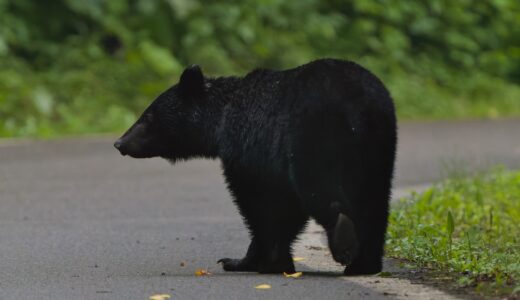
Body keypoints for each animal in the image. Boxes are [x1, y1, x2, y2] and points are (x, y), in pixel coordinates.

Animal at [115, 57, 398, 276]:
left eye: (148, 116)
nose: (120, 143)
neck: (221, 121)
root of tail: (359, 108)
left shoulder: (251, 151)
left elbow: (263, 206)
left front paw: (258, 261)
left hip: (315, 139)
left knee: (321, 190)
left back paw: (344, 240)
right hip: (377, 149)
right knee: (374, 202)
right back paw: (365, 264)